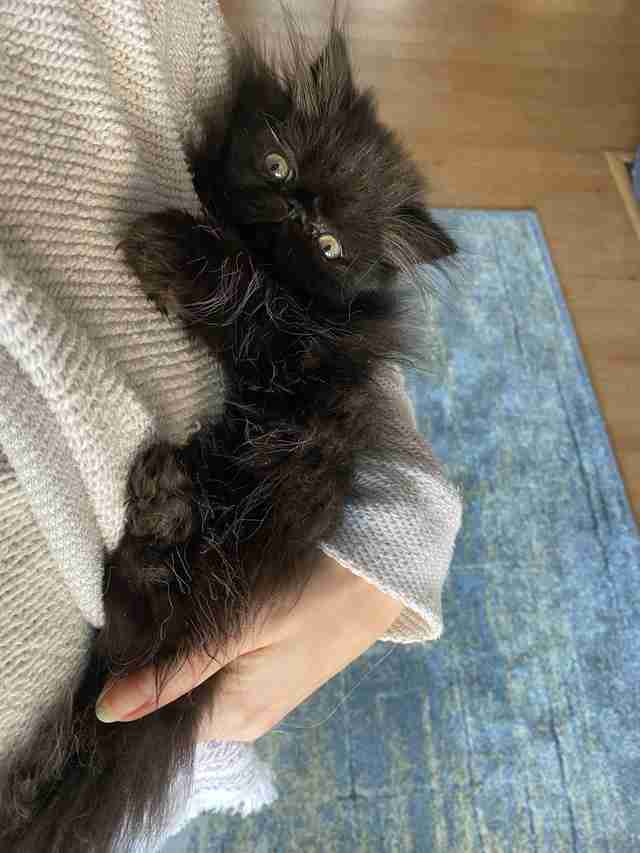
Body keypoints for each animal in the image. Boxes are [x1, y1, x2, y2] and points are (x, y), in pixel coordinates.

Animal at [1, 21, 456, 852]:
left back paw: (162, 501)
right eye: (279, 164)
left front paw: (167, 249)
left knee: (141, 615)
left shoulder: (293, 346)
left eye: (330, 244)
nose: (294, 208)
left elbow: (245, 290)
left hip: (252, 526)